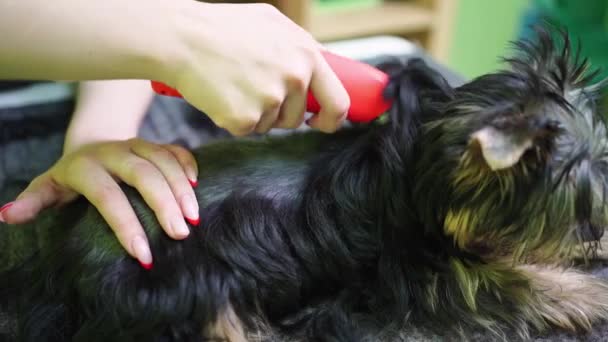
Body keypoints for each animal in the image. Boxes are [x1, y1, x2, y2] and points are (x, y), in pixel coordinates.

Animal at [3, 26, 608, 342]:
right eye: (578, 209)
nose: (597, 235)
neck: (424, 167)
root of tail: (59, 255)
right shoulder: (435, 271)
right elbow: (524, 287)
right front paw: (591, 294)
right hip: (181, 284)